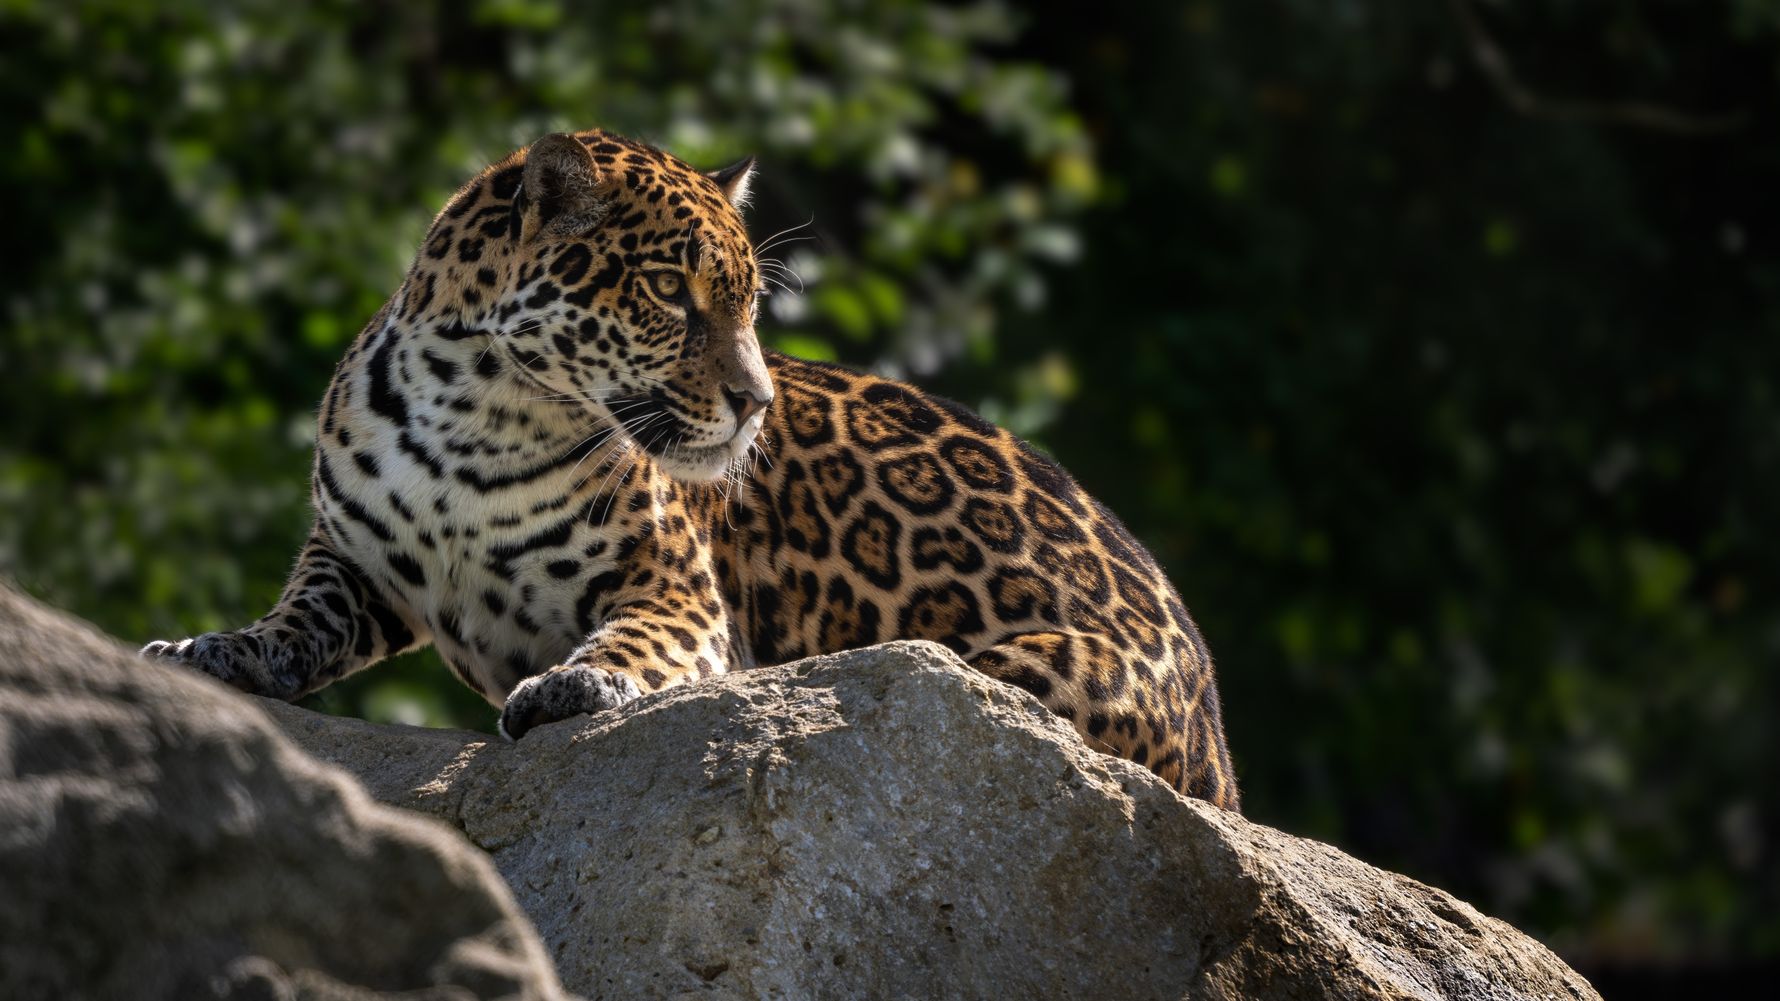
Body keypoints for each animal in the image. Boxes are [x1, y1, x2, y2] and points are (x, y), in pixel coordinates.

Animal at [141, 128, 1241, 810]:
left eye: (750, 301)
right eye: (671, 291)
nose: (755, 400)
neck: (476, 417)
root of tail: (1217, 724)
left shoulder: (674, 584)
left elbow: (638, 640)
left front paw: (577, 682)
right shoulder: (354, 559)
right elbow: (296, 619)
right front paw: (213, 648)